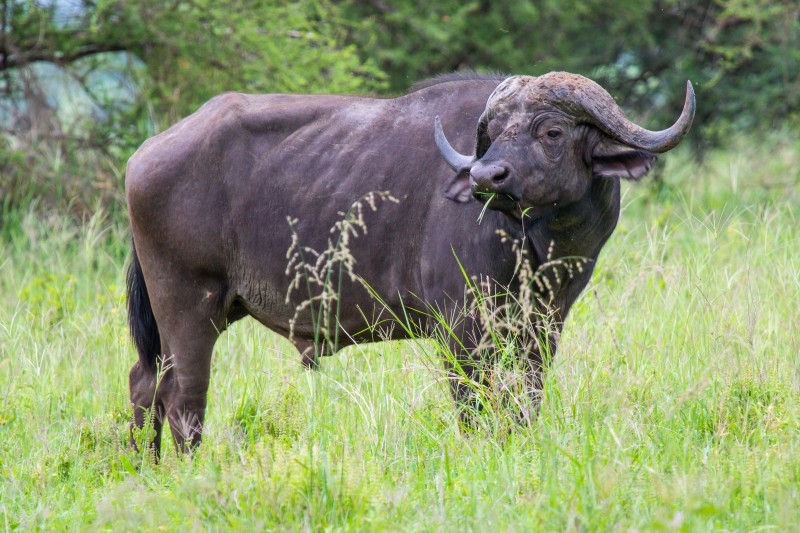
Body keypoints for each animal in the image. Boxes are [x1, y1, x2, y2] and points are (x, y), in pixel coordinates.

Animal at [125, 69, 692, 454]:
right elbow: (473, 405)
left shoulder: (542, 329)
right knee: (183, 399)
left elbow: (525, 401)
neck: (534, 245)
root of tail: (145, 153)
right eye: (495, 132)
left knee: (144, 383)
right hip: (188, 308)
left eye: (551, 132)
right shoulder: (462, 331)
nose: (486, 176)